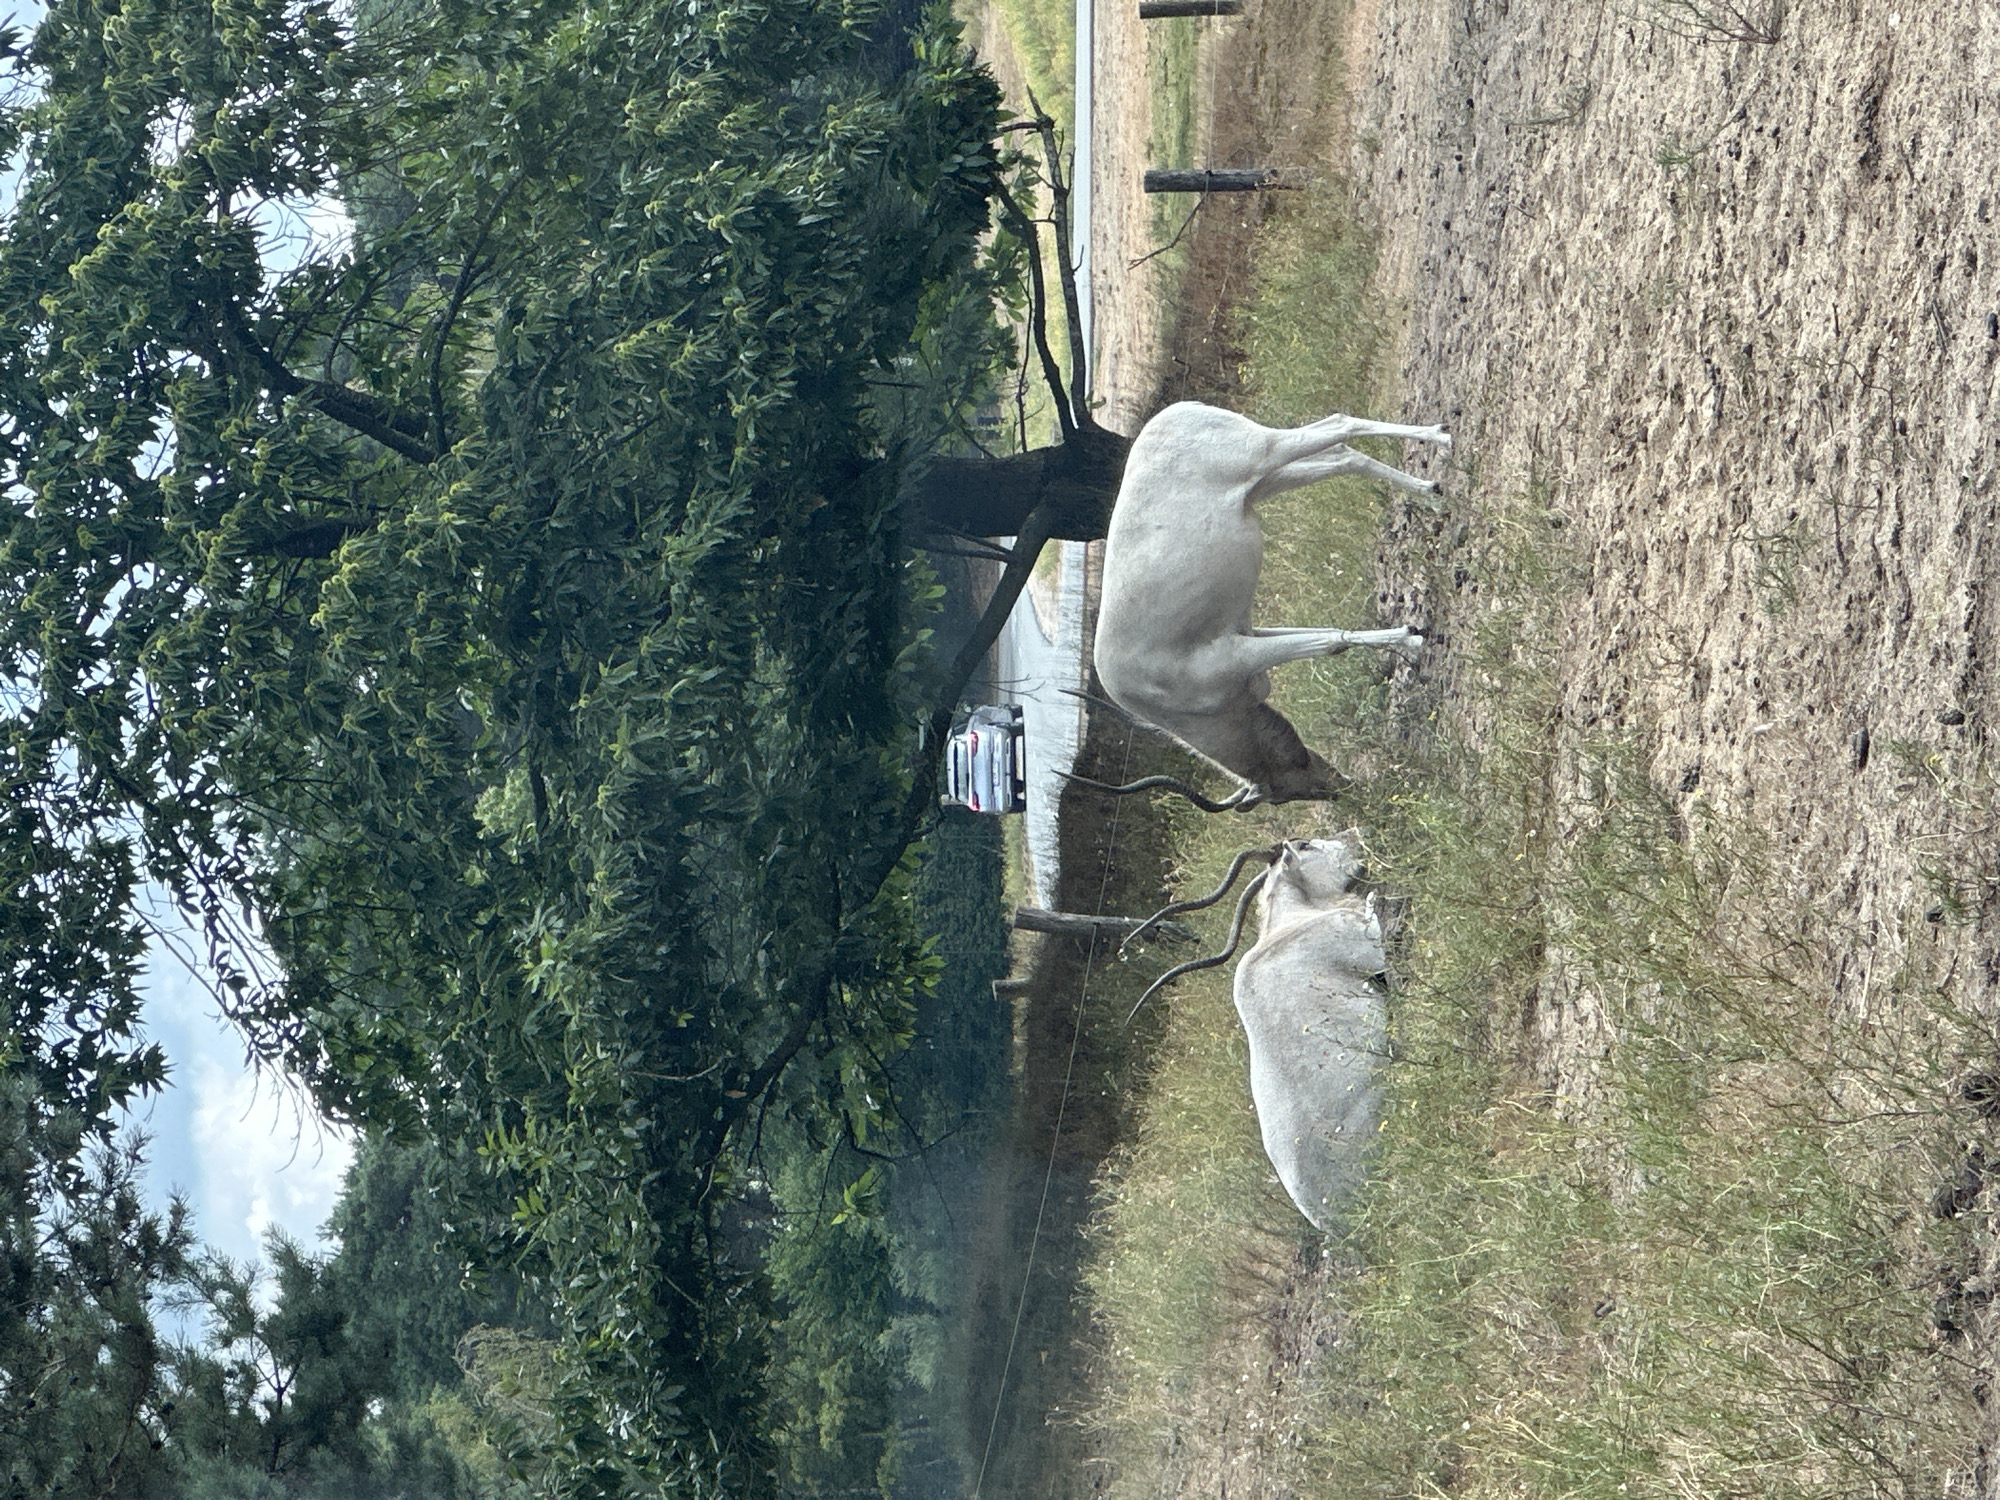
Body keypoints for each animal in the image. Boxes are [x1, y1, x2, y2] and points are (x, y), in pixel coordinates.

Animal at [1093, 402, 1450, 803]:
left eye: (1278, 792)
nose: (1342, 791)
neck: (1160, 700)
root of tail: (1174, 413)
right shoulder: (1248, 632)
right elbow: (1321, 634)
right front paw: (1403, 641)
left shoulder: (1235, 656)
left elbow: (1329, 644)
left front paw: (1412, 639)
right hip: (1265, 480)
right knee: (1342, 457)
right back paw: (1432, 494)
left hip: (1262, 453)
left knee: (1340, 426)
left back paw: (1441, 440)